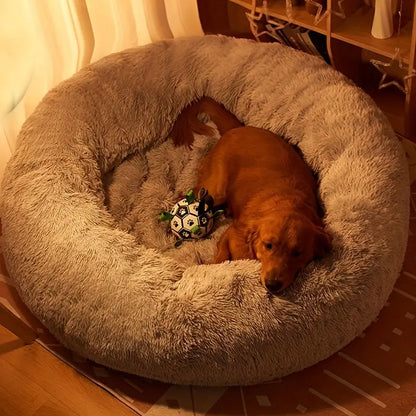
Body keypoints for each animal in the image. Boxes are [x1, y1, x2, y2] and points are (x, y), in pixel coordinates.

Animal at [170, 98, 332, 294]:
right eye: (268, 245)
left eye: (297, 253)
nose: (272, 285)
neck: (287, 203)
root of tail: (238, 128)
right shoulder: (232, 233)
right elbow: (221, 257)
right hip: (215, 190)